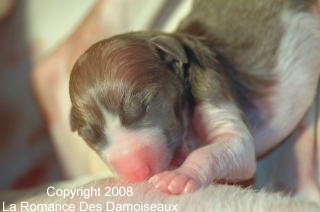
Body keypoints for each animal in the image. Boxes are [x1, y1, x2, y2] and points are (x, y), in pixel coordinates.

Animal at [69, 0, 320, 195]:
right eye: (90, 136)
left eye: (147, 106)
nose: (135, 172)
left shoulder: (213, 91)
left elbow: (231, 145)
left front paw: (181, 175)